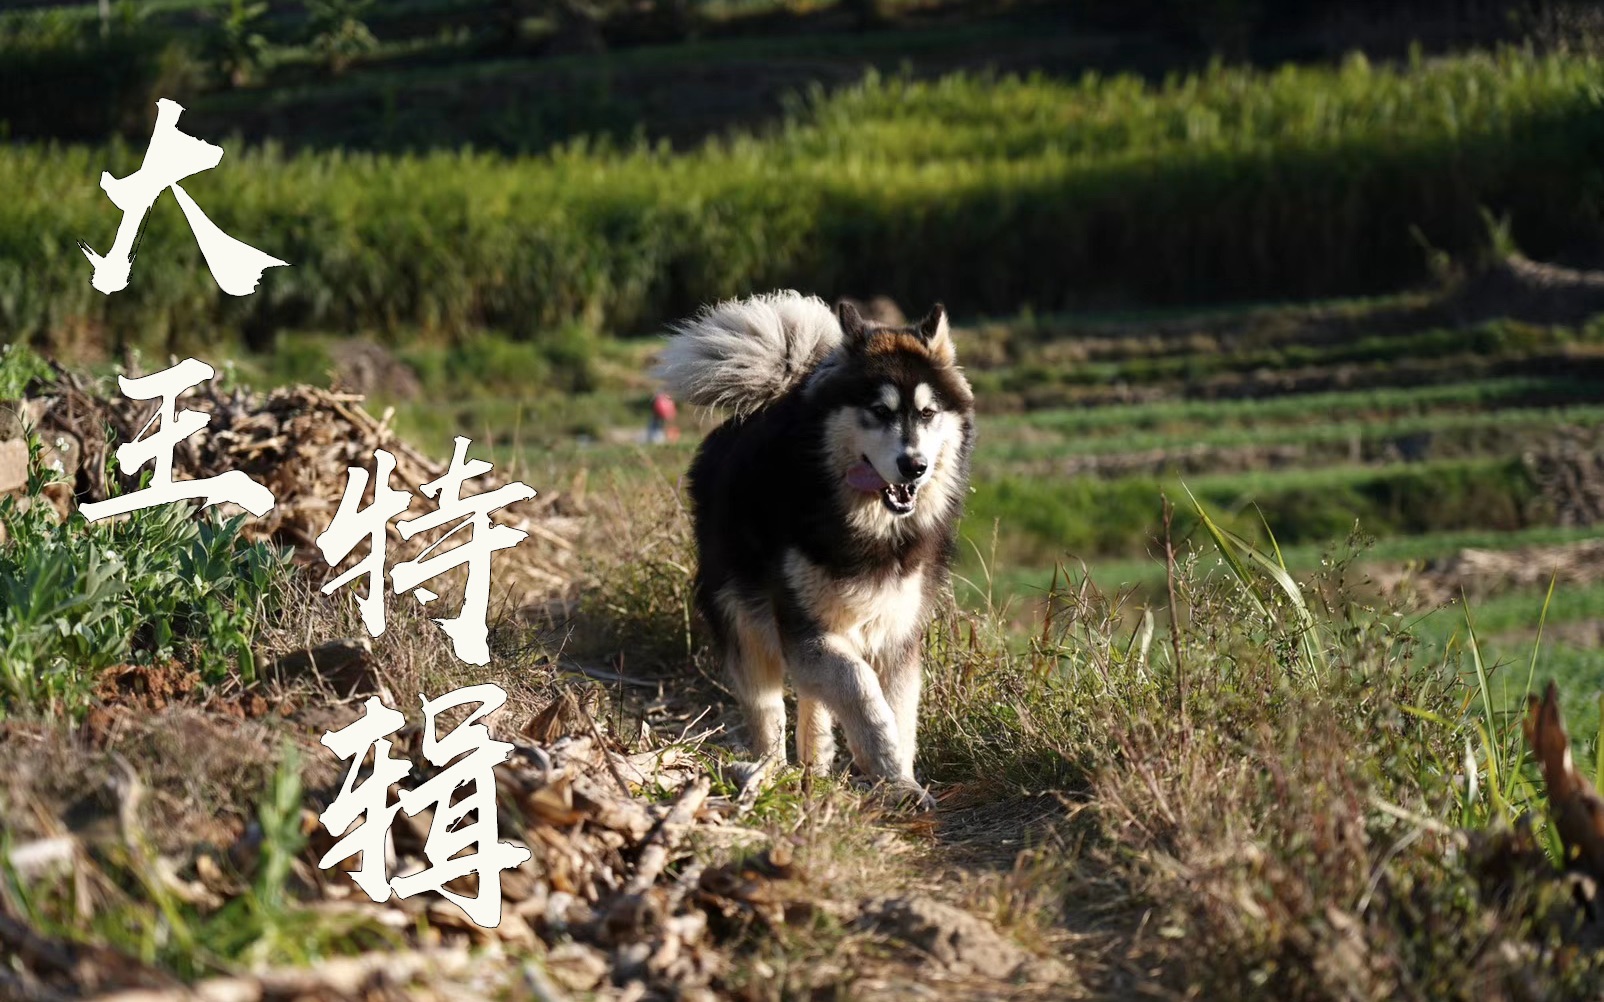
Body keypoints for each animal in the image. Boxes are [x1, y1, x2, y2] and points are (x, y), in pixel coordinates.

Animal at [654, 291, 975, 804]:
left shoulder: (897, 633)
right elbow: (860, 686)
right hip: (742, 618)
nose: (915, 466)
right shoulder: (805, 629)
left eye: (927, 414)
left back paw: (816, 764)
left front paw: (898, 778)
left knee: (812, 698)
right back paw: (768, 772)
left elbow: (896, 708)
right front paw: (883, 760)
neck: (867, 530)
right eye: (879, 411)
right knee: (768, 708)